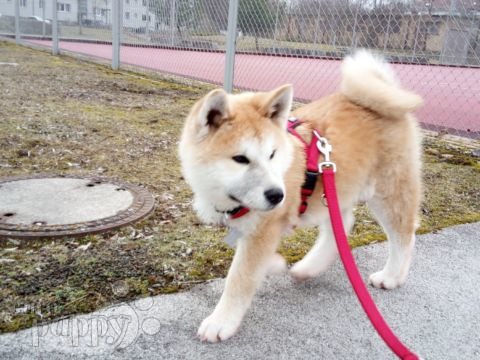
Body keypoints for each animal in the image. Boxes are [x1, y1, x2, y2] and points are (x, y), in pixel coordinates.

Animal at [180, 50, 424, 340]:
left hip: (388, 193)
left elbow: (240, 277)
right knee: (342, 226)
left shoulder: (264, 229)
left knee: (403, 236)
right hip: (337, 189)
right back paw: (309, 267)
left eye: (272, 154)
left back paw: (392, 276)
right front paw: (275, 264)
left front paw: (222, 321)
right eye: (240, 159)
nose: (278, 195)